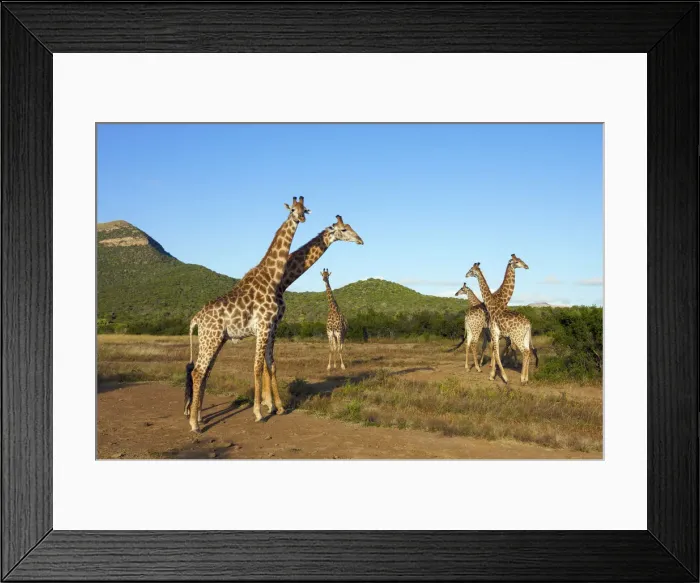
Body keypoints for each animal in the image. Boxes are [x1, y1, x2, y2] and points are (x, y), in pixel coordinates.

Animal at [184, 196, 310, 432]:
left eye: (304, 209)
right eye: (292, 210)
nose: (301, 218)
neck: (271, 277)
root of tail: (196, 319)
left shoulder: (268, 328)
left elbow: (267, 364)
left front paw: (271, 408)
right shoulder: (264, 325)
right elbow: (259, 366)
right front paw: (260, 413)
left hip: (213, 339)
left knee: (203, 372)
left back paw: (199, 418)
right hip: (211, 338)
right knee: (198, 371)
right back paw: (194, 424)